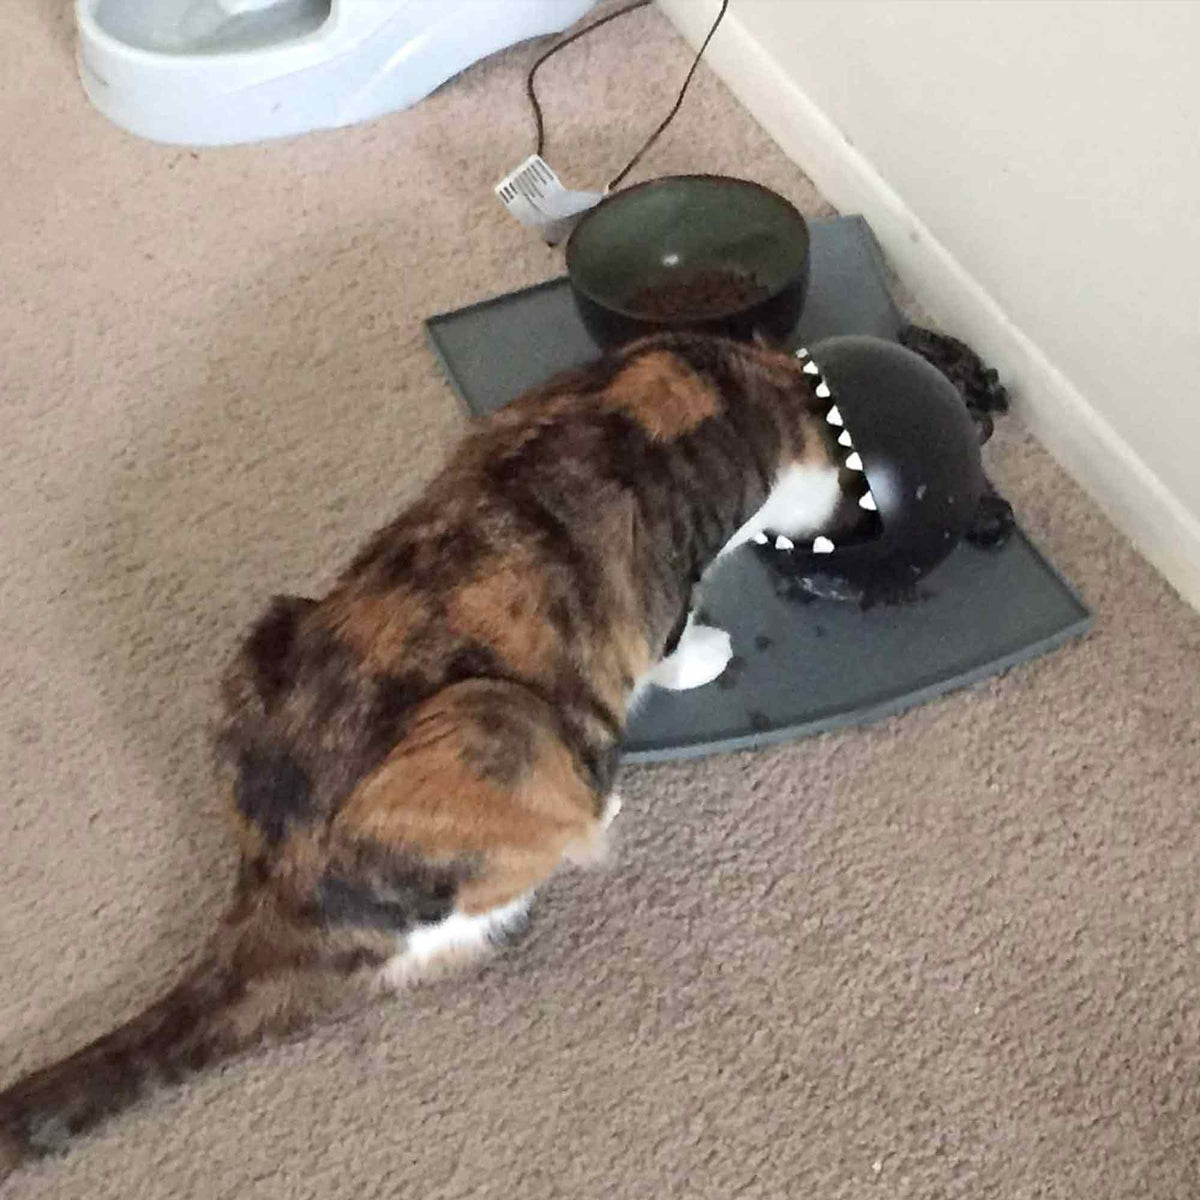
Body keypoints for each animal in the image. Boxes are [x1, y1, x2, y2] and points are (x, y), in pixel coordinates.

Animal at [0, 331, 864, 1180]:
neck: (728, 379)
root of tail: (278, 892)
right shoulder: (669, 586)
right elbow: (671, 647)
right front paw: (705, 657)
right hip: (504, 726)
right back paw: (595, 807)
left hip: (268, 632)